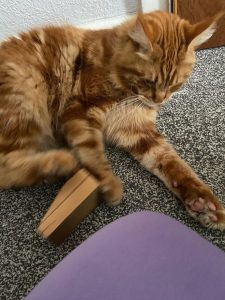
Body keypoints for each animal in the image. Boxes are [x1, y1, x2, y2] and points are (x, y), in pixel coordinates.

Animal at [0, 9, 225, 230]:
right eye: (149, 81)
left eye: (175, 84)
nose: (159, 100)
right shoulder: (79, 112)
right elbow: (93, 152)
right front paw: (110, 183)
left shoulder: (136, 131)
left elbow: (172, 163)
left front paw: (203, 202)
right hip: (26, 100)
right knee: (6, 167)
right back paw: (59, 162)